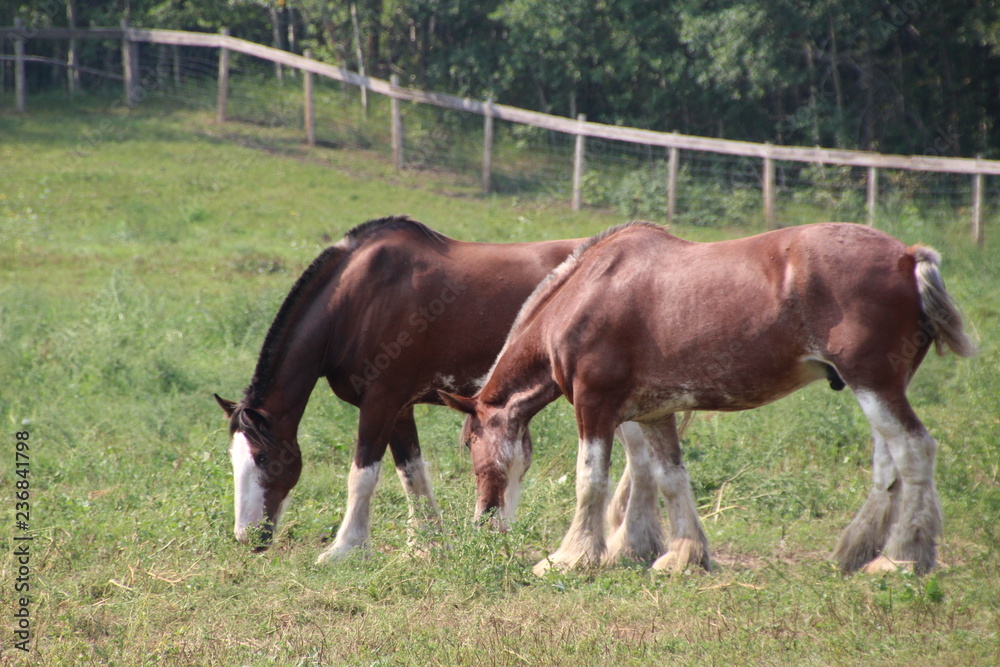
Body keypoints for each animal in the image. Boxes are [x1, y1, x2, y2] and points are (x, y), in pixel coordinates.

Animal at [214, 217, 584, 560]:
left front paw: (345, 547)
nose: (246, 536)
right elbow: (411, 472)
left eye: (263, 456)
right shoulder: (400, 408)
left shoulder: (380, 402)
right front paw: (427, 544)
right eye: (233, 457)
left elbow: (363, 474)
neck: (357, 300)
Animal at [442, 222, 972, 576]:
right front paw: (682, 556)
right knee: (889, 465)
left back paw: (901, 558)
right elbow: (670, 478)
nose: (484, 522)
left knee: (914, 451)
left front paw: (572, 557)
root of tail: (909, 258)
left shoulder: (595, 406)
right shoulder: (655, 413)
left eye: (469, 445)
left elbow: (589, 480)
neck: (586, 293)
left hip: (874, 384)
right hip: (876, 389)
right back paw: (861, 550)